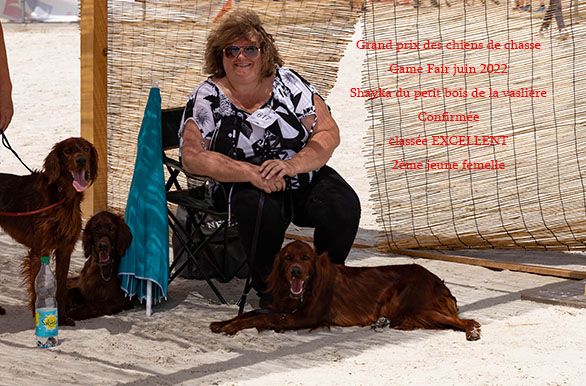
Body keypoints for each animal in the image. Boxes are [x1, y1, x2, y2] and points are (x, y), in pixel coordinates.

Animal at [0, 137, 97, 324]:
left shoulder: (65, 250)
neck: (63, 196)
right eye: (67, 151)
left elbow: (61, 287)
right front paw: (38, 313)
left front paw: (63, 317)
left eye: (86, 149)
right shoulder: (39, 250)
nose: (81, 160)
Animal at [210, 240, 480, 342]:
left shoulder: (304, 317)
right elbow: (252, 312)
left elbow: (260, 318)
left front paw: (232, 327)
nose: (296, 272)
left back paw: (472, 332)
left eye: (305, 258)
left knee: (466, 320)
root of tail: (438, 281)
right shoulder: (281, 308)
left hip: (412, 303)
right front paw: (223, 322)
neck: (304, 290)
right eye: (287, 258)